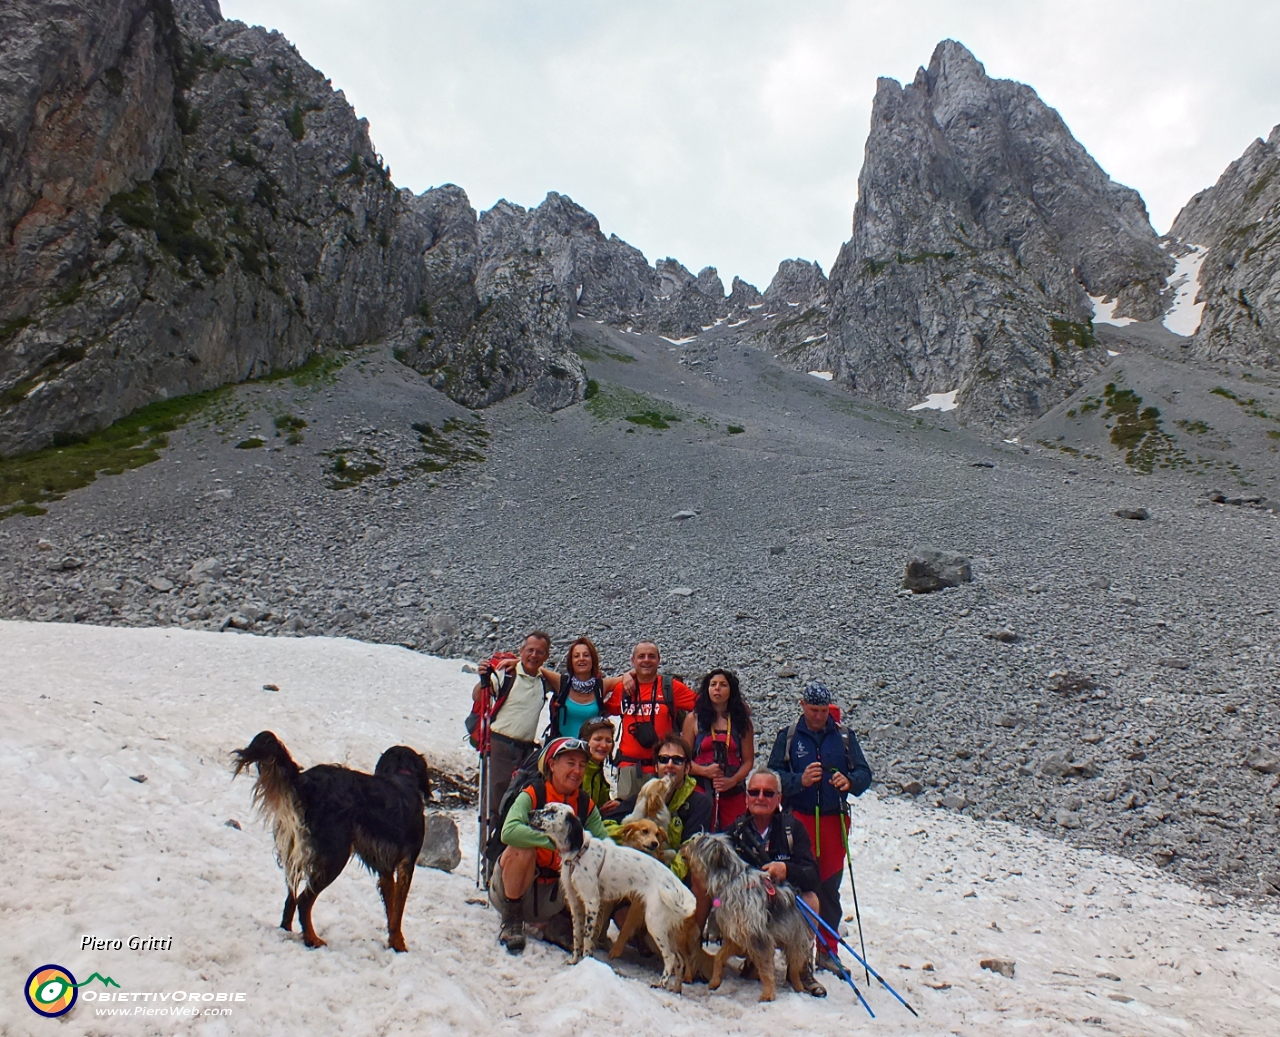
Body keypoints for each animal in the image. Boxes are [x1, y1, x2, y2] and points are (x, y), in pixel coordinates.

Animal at [230, 732, 430, 947]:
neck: (402, 776)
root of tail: (305, 781)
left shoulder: (385, 868)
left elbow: (391, 907)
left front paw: (393, 940)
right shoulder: (406, 864)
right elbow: (399, 908)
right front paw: (399, 944)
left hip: (299, 851)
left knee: (291, 897)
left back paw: (287, 929)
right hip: (335, 856)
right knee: (304, 901)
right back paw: (312, 939)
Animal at [686, 829, 824, 998]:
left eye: (697, 842)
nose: (683, 846)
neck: (731, 880)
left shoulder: (757, 936)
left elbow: (766, 969)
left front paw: (768, 995)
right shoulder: (737, 935)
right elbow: (719, 956)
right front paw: (715, 981)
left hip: (796, 939)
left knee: (795, 967)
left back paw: (800, 986)